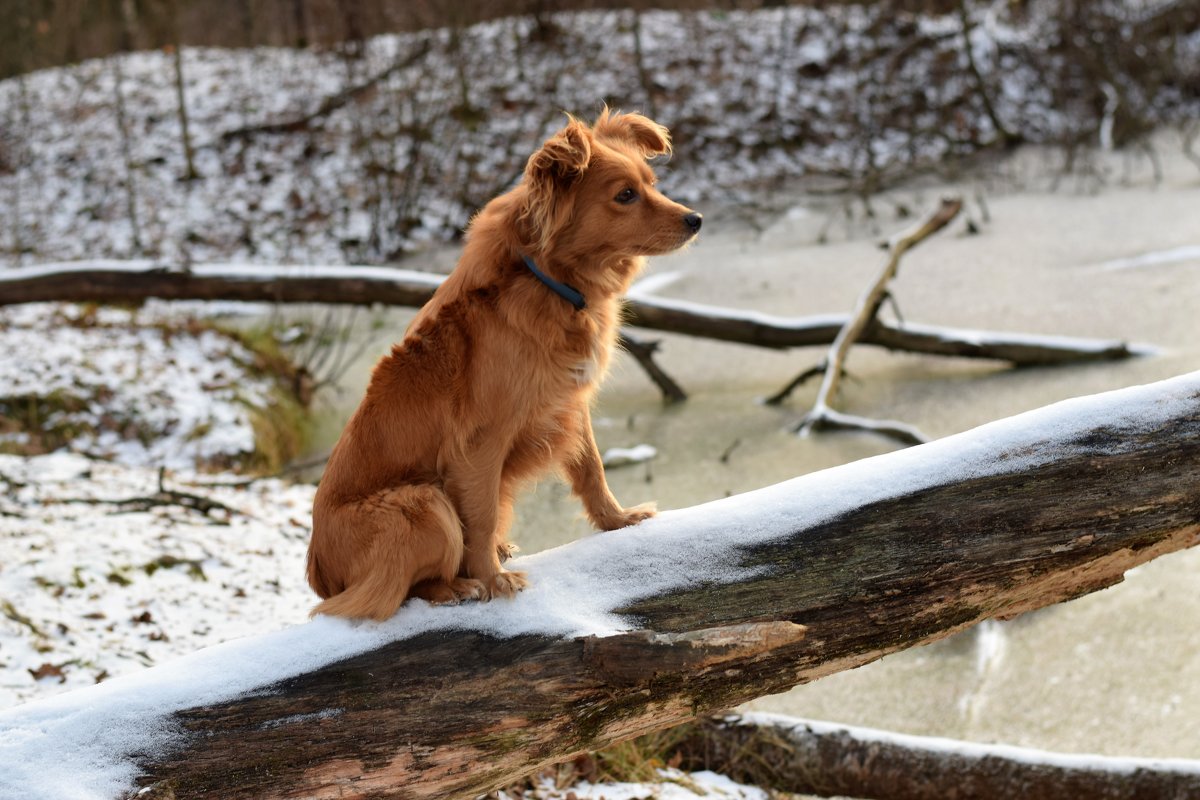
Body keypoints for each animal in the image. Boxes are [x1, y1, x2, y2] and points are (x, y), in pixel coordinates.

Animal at [304, 107, 700, 618]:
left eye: (651, 183)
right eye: (625, 195)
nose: (696, 219)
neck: (551, 282)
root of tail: (319, 572)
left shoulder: (567, 403)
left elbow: (591, 468)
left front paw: (617, 520)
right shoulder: (480, 444)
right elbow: (482, 516)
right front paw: (493, 580)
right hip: (422, 503)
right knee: (395, 592)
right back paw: (457, 586)